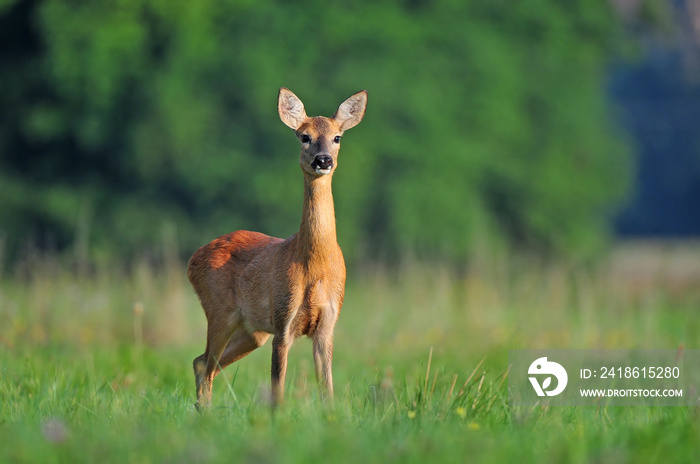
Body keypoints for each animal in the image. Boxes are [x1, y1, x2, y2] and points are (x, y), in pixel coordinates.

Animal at [189, 87, 370, 406]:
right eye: (304, 136)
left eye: (337, 137)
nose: (323, 160)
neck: (315, 265)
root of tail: (191, 261)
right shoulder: (283, 319)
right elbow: (277, 389)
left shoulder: (327, 324)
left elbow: (327, 390)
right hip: (219, 311)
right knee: (206, 365)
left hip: (252, 331)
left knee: (202, 362)